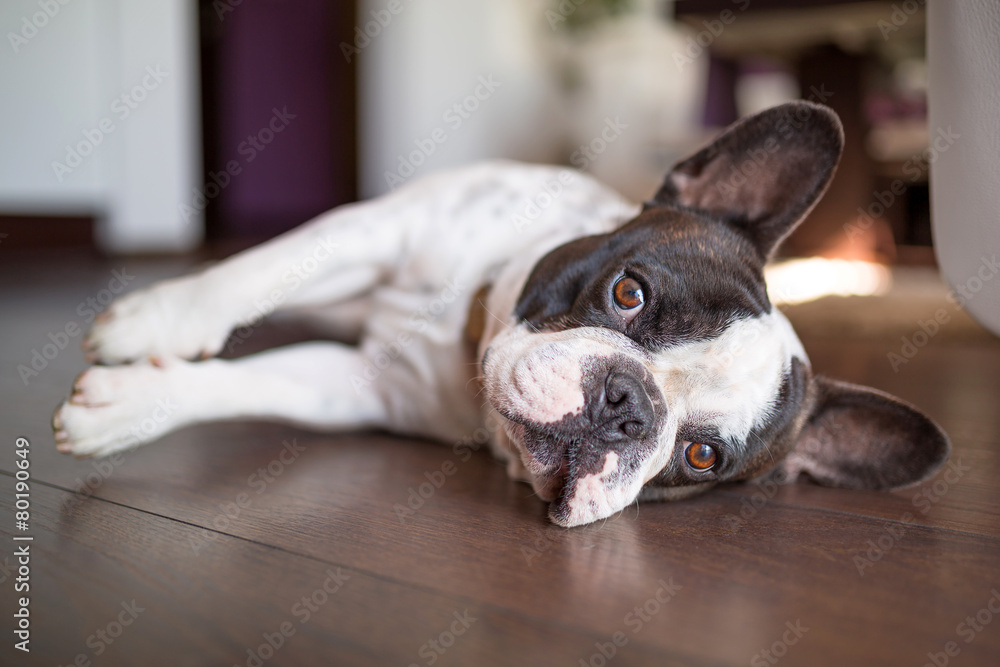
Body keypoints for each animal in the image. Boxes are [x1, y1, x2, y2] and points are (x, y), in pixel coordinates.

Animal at [50, 102, 948, 528]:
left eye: (700, 456)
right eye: (629, 292)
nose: (627, 406)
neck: (467, 329)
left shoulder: (356, 385)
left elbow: (259, 382)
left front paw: (134, 402)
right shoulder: (381, 226)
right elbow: (261, 268)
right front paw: (157, 323)